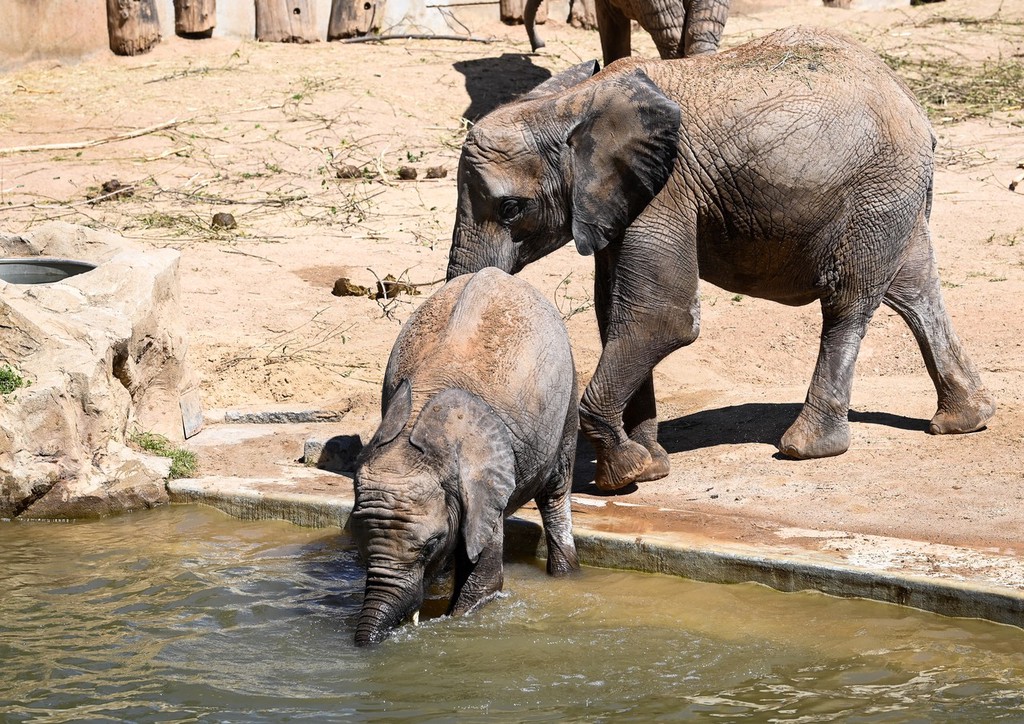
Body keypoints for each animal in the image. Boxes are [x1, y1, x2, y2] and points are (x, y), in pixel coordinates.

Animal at [350, 266, 577, 647]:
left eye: (430, 545)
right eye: (363, 548)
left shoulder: (487, 481)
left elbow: (483, 581)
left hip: (569, 388)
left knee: (557, 489)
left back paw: (565, 576)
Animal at [448, 26, 991, 493]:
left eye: (511, 208)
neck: (569, 104)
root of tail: (911, 102)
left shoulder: (665, 191)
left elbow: (660, 318)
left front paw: (622, 476)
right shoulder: (620, 201)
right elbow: (616, 315)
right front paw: (648, 468)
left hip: (875, 192)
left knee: (848, 303)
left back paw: (806, 448)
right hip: (894, 195)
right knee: (915, 292)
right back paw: (966, 420)